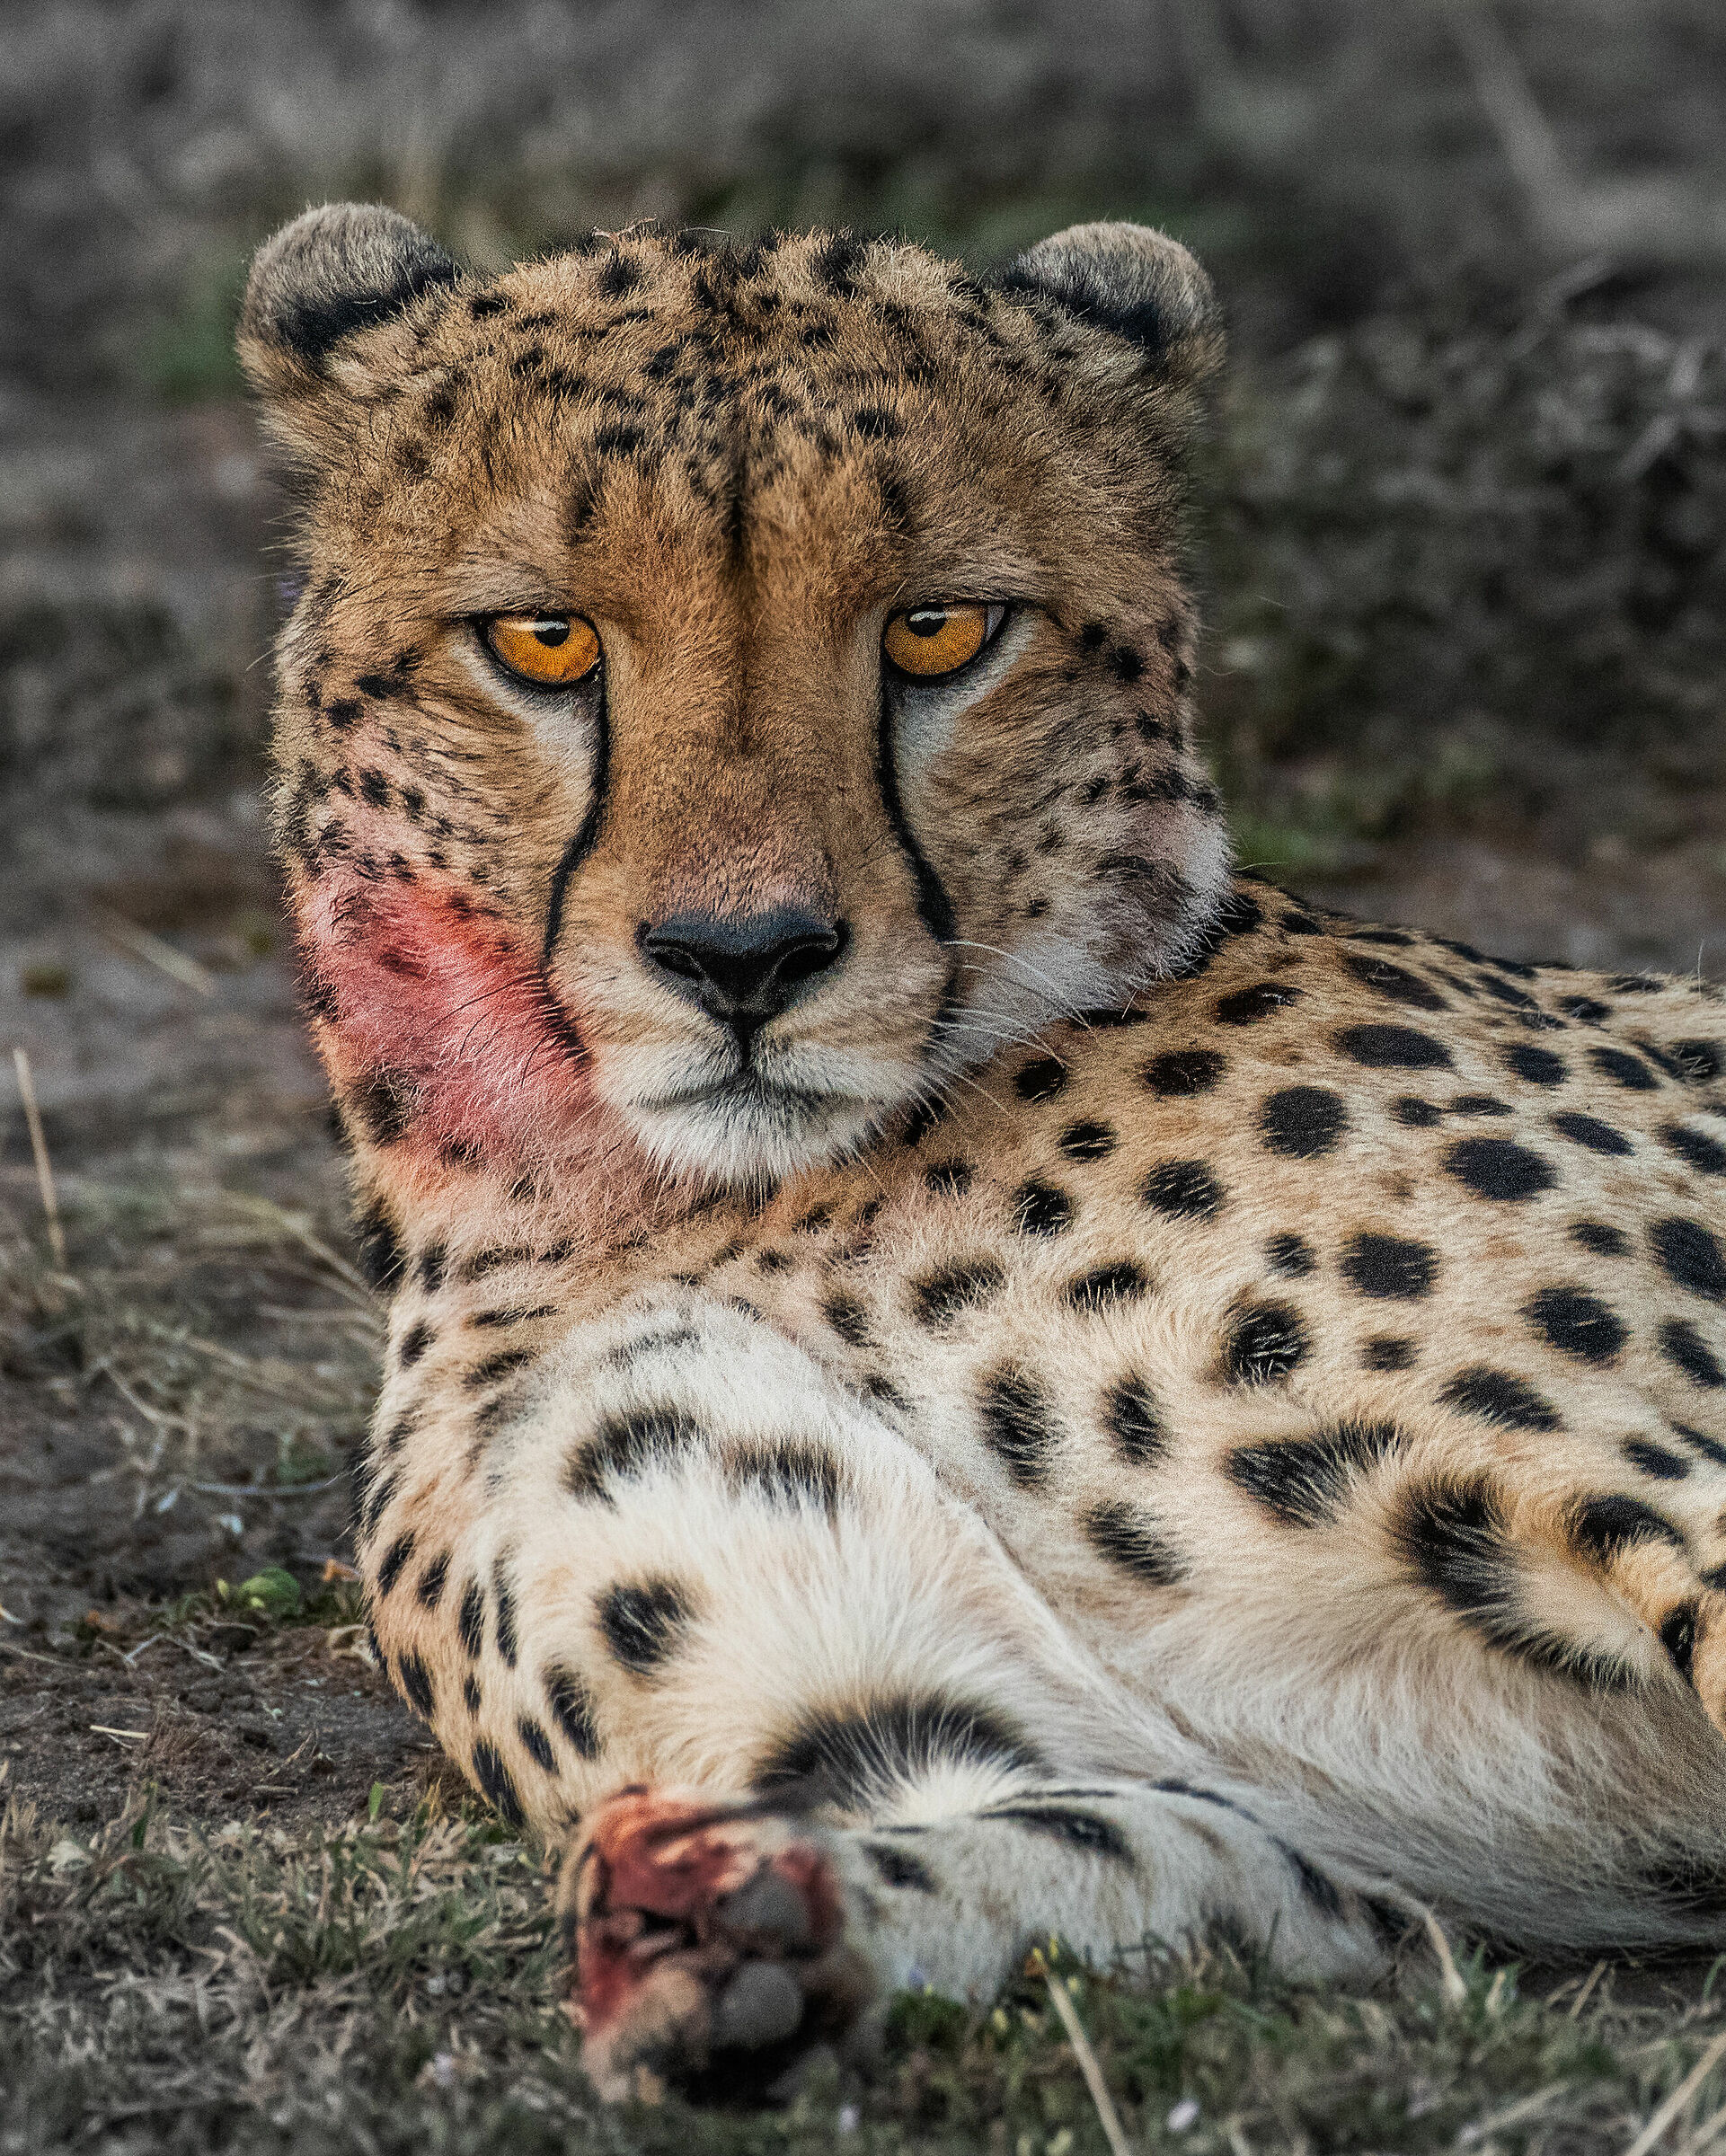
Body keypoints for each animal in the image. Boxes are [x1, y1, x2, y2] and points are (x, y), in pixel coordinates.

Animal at [238, 202, 1726, 2103]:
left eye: (942, 632)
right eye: (547, 642)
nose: (744, 958)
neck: (643, 1209)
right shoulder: (1266, 1844)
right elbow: (1135, 1855)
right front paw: (738, 1931)